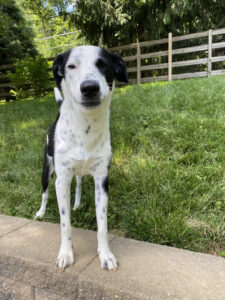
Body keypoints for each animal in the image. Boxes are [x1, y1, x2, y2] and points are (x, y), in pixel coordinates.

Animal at [34, 45, 127, 270]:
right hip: (47, 170)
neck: (86, 126)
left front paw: (105, 255)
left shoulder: (102, 180)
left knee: (78, 184)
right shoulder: (61, 180)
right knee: (45, 192)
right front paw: (66, 254)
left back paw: (76, 204)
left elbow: (102, 224)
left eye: (103, 64)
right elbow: (65, 223)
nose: (89, 88)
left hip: (81, 172)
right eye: (71, 66)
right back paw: (41, 212)